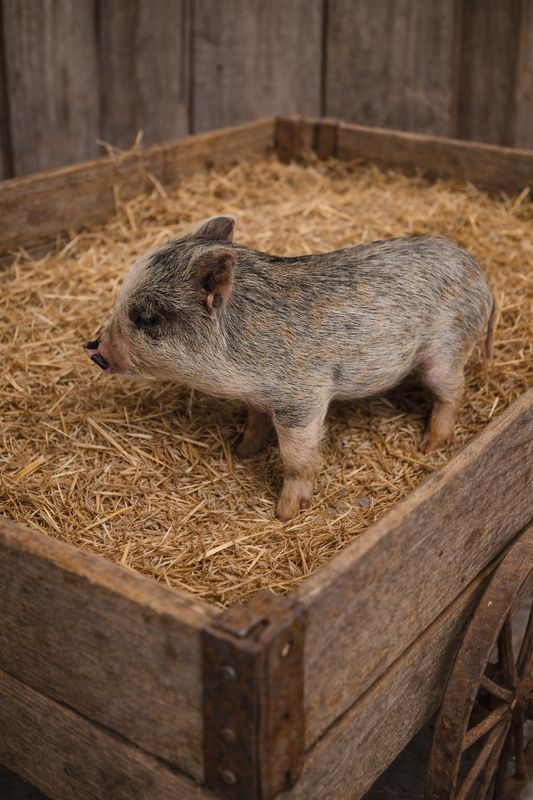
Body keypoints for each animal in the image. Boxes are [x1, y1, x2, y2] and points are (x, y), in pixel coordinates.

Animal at [85, 216, 495, 521]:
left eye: (148, 318)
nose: (93, 349)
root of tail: (481, 274)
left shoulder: (302, 397)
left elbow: (297, 459)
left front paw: (284, 515)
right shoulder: (257, 396)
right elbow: (255, 423)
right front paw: (241, 452)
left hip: (445, 351)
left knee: (453, 391)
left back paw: (429, 447)